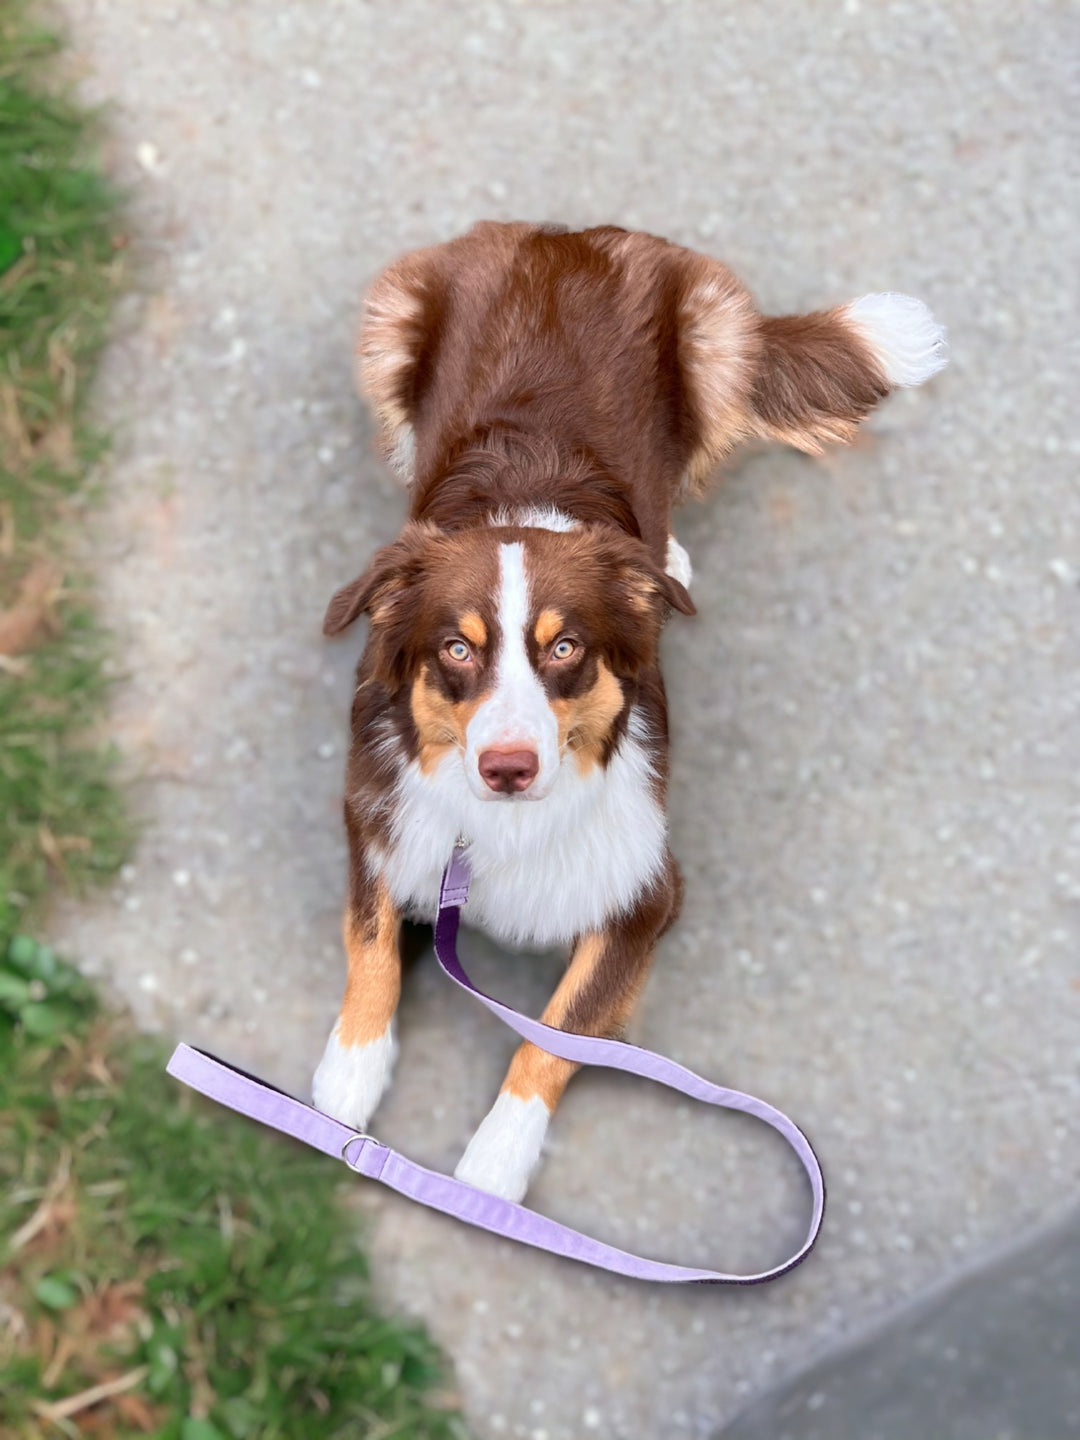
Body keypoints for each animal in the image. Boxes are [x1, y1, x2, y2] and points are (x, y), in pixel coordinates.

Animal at [315, 218, 944, 1198]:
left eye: (565, 649)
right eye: (456, 650)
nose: (507, 768)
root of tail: (563, 234)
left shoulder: (646, 892)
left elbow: (555, 1036)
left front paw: (493, 1169)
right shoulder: (379, 818)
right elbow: (371, 939)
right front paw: (346, 1072)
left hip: (717, 330)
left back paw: (668, 561)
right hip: (392, 315)